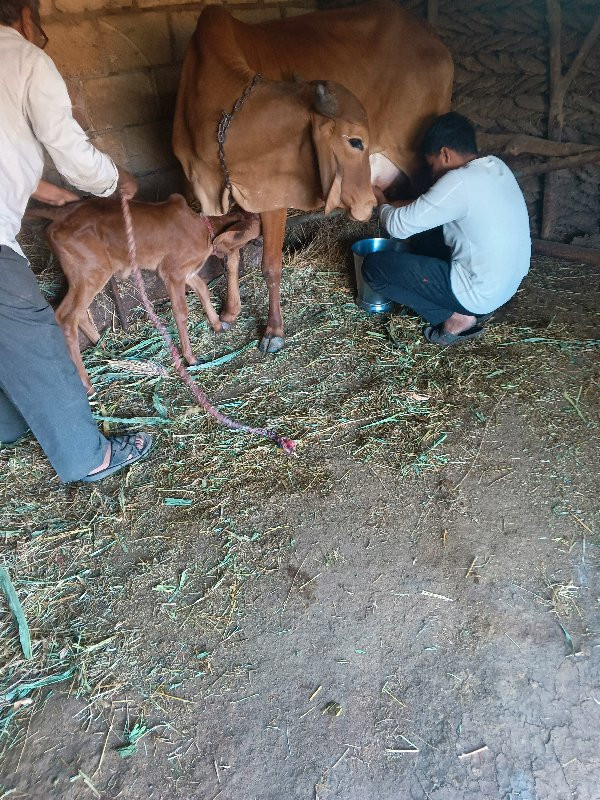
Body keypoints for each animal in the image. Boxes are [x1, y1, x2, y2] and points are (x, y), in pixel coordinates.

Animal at [28, 195, 258, 394]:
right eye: (246, 237)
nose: (255, 244)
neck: (203, 230)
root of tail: (62, 214)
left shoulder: (189, 272)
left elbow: (203, 289)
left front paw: (216, 323)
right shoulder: (172, 272)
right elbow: (181, 312)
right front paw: (190, 357)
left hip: (81, 276)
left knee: (78, 313)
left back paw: (103, 347)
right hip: (92, 272)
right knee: (66, 317)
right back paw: (87, 383)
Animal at [171, 0, 452, 350]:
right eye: (355, 141)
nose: (368, 203)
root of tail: (433, 38)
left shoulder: (274, 195)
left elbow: (270, 265)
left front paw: (274, 331)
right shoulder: (206, 192)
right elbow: (228, 254)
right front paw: (230, 311)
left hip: (418, 159)